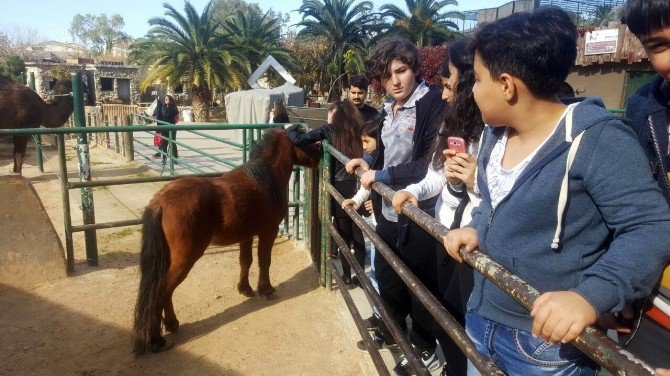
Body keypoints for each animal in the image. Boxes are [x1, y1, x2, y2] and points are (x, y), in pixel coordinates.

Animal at [134, 129, 322, 352]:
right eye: (306, 140)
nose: (321, 152)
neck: (265, 180)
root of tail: (160, 202)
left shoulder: (246, 235)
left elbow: (245, 261)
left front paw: (245, 289)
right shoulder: (268, 231)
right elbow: (264, 261)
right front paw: (266, 289)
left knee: (165, 292)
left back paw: (171, 324)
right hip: (186, 257)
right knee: (162, 291)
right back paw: (156, 339)